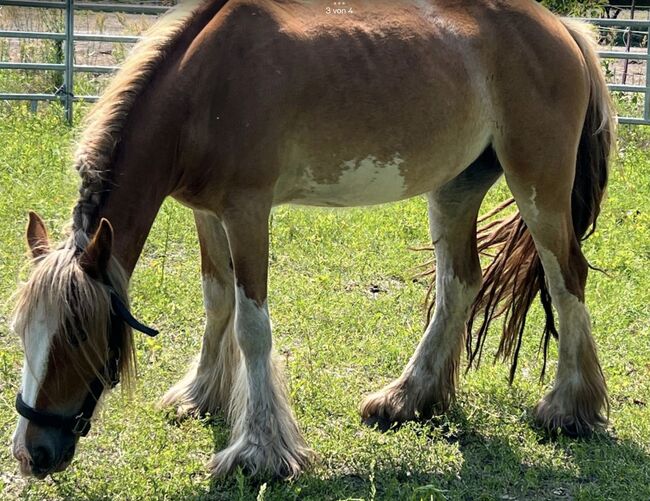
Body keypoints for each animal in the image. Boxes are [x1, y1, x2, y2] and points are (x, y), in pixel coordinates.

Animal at [12, 0, 616, 478]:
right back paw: (408, 399)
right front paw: (200, 396)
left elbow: (252, 326)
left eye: (75, 335)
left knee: (567, 279)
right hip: (457, 186)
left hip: (538, 186)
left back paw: (569, 409)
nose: (30, 454)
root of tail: (562, 27)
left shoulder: (247, 212)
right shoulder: (206, 214)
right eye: (21, 333)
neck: (203, 86)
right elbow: (217, 301)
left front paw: (259, 451)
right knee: (460, 282)